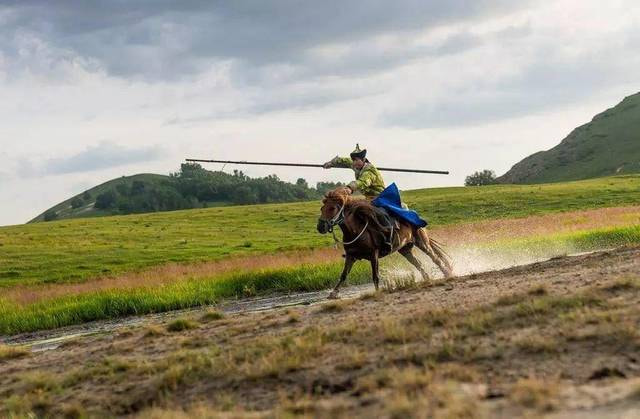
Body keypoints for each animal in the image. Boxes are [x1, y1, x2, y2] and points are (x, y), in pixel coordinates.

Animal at [318, 189, 452, 300]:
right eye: (322, 208)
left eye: (332, 208)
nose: (320, 227)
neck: (355, 230)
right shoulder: (351, 256)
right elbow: (343, 275)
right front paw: (333, 293)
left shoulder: (374, 255)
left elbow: (375, 276)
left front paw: (377, 292)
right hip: (405, 250)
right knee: (418, 264)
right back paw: (427, 279)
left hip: (421, 242)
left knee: (434, 257)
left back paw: (447, 273)